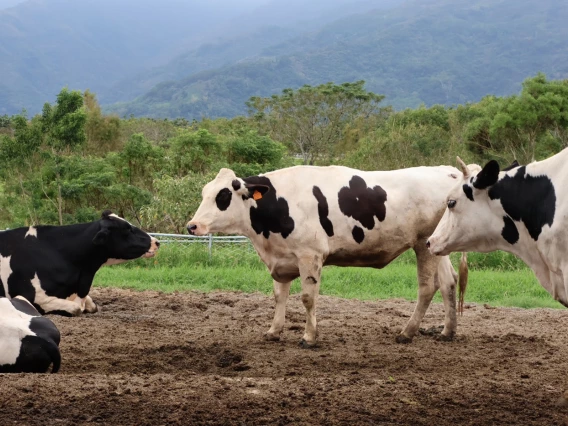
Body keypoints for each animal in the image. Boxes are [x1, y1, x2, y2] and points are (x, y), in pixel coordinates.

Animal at [189, 165, 472, 348]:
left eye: (223, 195)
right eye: (204, 192)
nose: (192, 225)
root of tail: (448, 170)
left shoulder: (309, 255)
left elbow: (307, 298)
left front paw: (309, 337)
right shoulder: (282, 257)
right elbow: (279, 296)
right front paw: (273, 331)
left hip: (422, 245)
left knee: (427, 287)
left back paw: (407, 332)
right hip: (435, 246)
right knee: (448, 282)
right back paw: (447, 331)